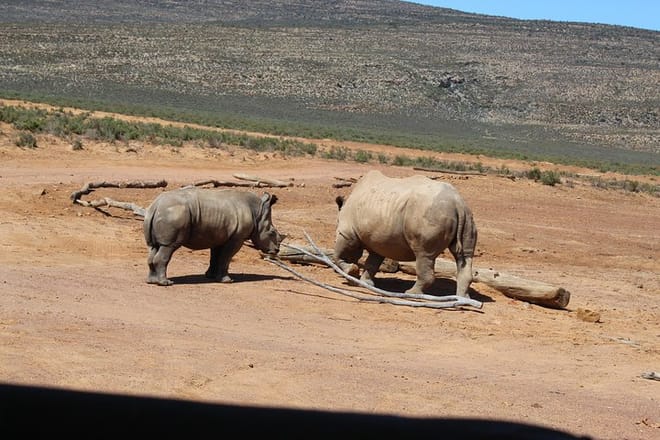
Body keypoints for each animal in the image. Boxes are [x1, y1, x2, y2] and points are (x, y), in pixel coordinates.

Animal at [143, 187, 284, 286]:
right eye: (272, 232)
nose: (276, 250)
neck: (257, 213)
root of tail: (155, 205)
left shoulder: (219, 236)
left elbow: (215, 257)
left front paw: (210, 276)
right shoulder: (236, 238)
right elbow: (225, 258)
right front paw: (227, 280)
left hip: (161, 213)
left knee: (154, 247)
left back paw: (151, 281)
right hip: (174, 214)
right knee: (169, 246)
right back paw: (165, 283)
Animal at [334, 170, 477, 298]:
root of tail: (457, 203)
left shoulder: (347, 233)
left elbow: (338, 255)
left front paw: (351, 272)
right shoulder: (378, 240)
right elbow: (372, 263)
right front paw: (365, 283)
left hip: (429, 214)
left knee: (424, 254)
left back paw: (411, 293)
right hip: (466, 216)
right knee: (464, 256)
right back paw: (462, 299)